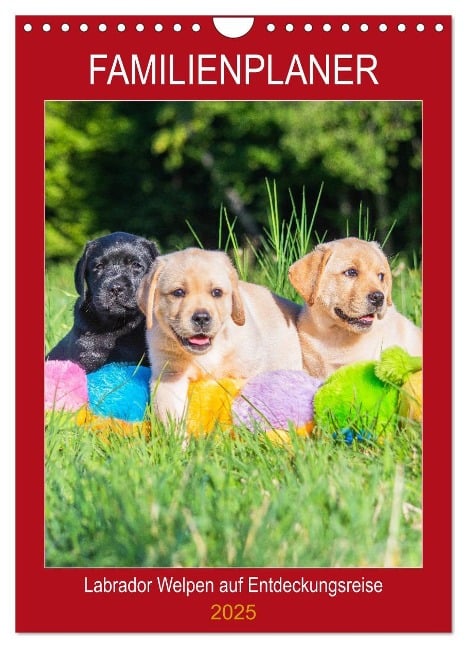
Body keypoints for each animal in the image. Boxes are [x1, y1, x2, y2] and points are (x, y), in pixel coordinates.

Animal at [138, 247, 304, 420]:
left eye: (216, 292)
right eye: (178, 292)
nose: (202, 318)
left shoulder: (249, 369)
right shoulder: (168, 374)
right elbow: (169, 411)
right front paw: (176, 428)